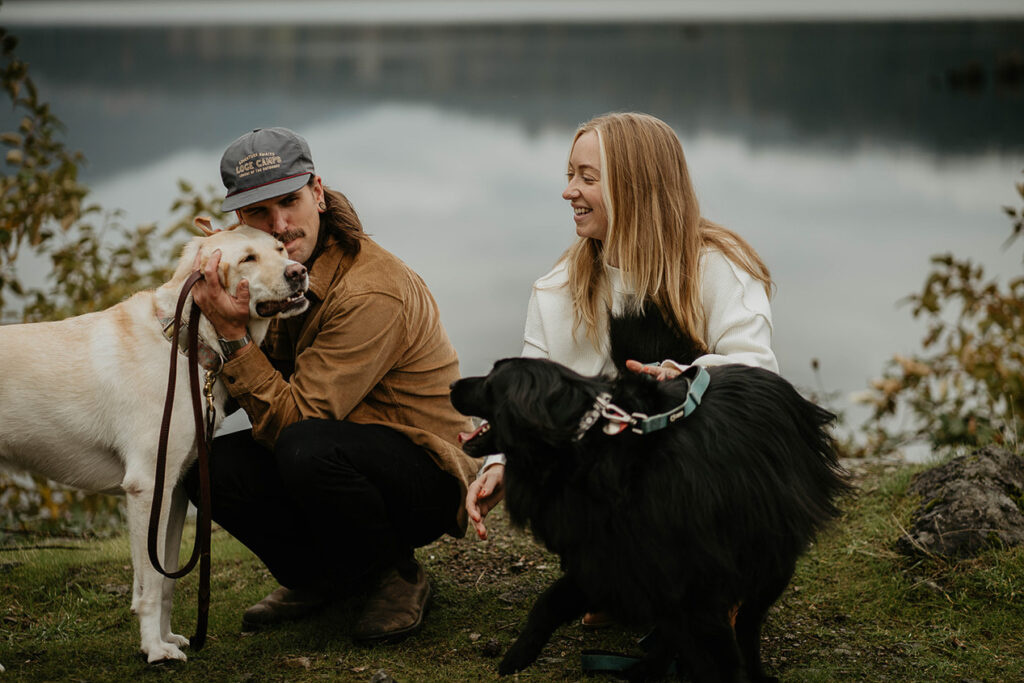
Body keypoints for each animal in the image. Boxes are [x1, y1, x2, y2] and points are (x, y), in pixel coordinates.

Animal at [0, 224, 307, 663]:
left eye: (281, 249)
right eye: (248, 259)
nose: (299, 272)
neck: (182, 343)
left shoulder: (175, 489)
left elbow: (167, 578)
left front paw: (167, 638)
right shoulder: (147, 487)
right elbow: (149, 583)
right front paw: (154, 651)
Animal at [452, 307, 851, 679]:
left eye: (490, 380)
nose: (453, 384)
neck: (588, 442)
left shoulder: (682, 574)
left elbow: (715, 653)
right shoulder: (612, 557)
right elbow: (550, 602)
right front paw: (519, 656)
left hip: (770, 547)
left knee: (747, 624)